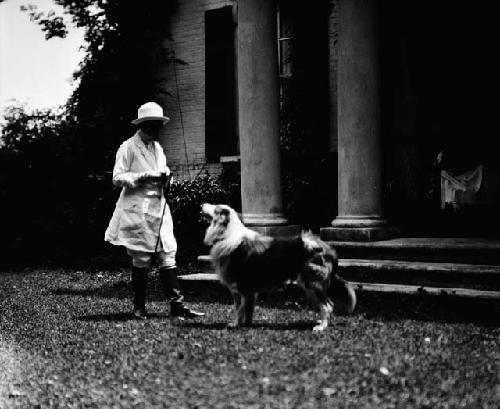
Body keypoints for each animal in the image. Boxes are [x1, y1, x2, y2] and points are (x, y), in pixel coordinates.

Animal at [200, 202, 356, 330]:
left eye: (215, 207)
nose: (202, 204)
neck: (227, 232)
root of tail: (328, 248)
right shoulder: (249, 290)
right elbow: (248, 310)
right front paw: (246, 324)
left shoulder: (239, 287)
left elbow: (239, 309)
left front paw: (235, 325)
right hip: (309, 285)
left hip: (312, 282)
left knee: (328, 305)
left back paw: (321, 327)